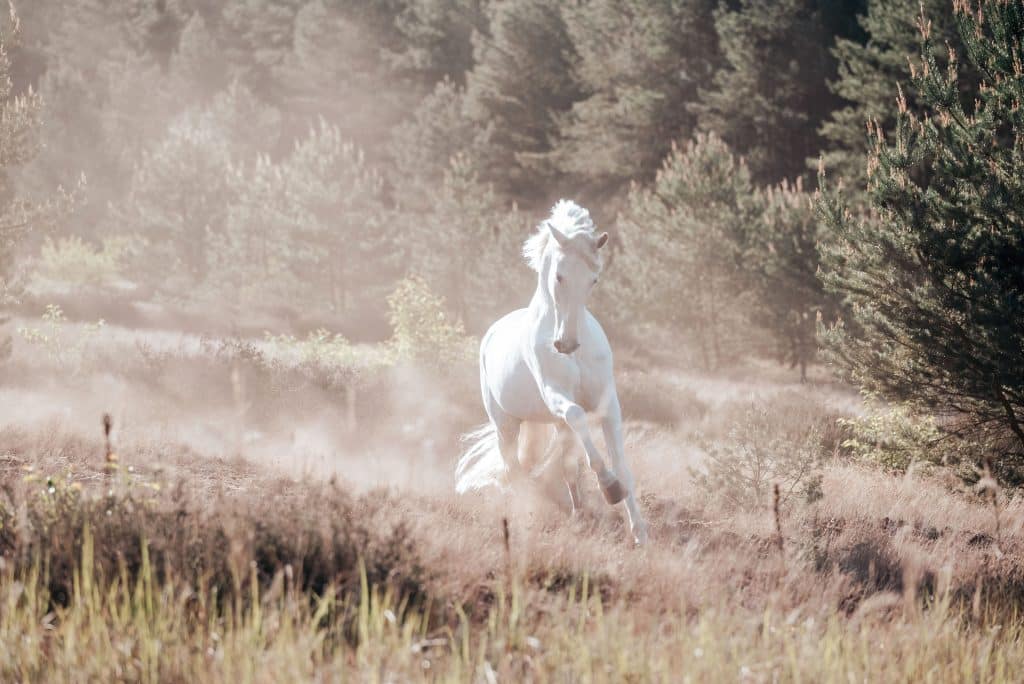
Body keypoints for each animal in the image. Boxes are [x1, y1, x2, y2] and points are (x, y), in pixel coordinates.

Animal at [456, 200, 648, 545]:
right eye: (559, 276)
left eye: (593, 280)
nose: (566, 344)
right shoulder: (557, 396)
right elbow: (577, 416)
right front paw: (609, 487)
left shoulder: (608, 404)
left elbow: (620, 464)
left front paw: (639, 531)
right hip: (505, 424)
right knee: (514, 468)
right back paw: (529, 511)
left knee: (566, 467)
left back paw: (579, 515)